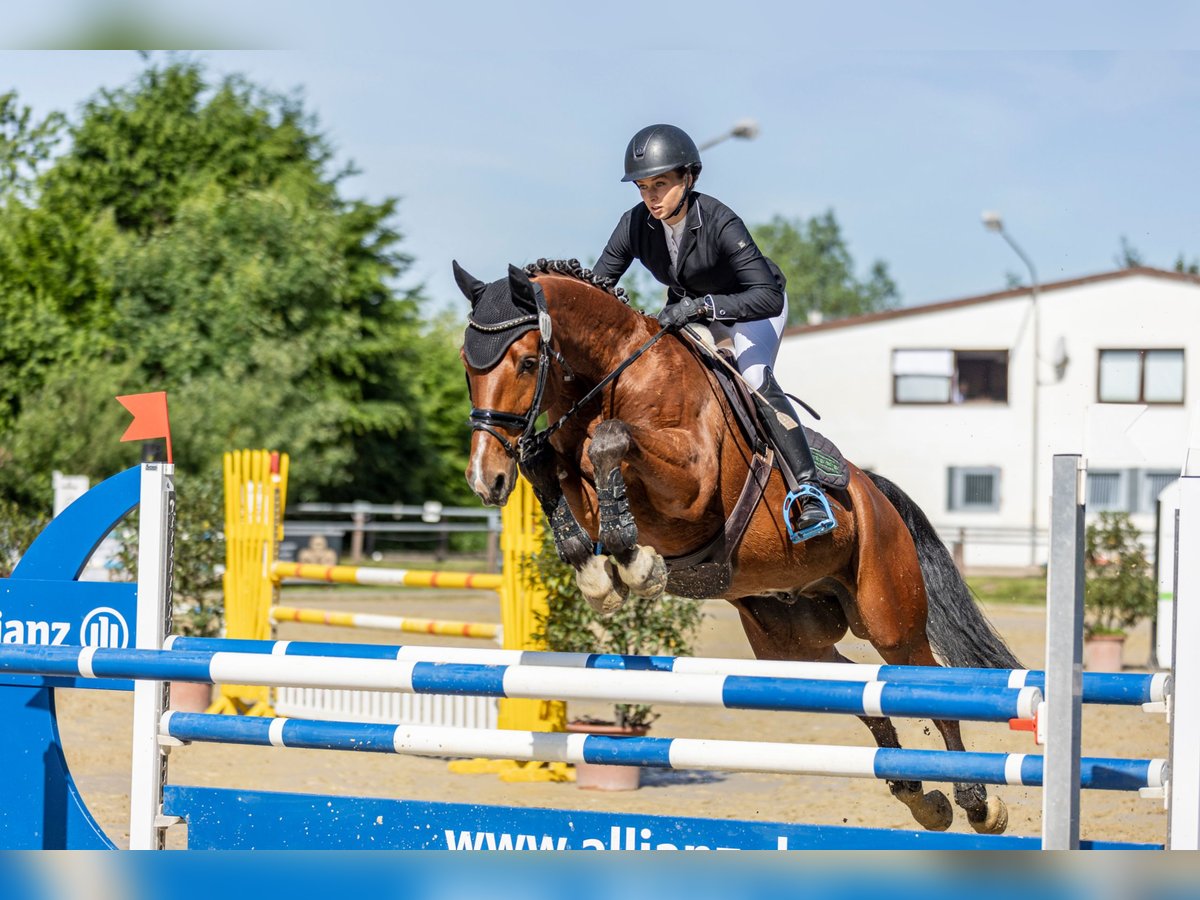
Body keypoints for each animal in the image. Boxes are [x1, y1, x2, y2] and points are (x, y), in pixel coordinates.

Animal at [456, 256, 1022, 835]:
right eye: (466, 364)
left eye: (527, 363)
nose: (485, 480)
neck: (618, 374)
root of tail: (875, 494)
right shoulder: (571, 472)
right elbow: (545, 463)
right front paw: (595, 571)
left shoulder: (690, 486)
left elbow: (610, 440)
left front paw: (634, 563)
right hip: (790, 641)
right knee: (852, 688)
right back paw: (917, 793)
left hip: (890, 615)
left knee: (924, 681)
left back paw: (976, 800)